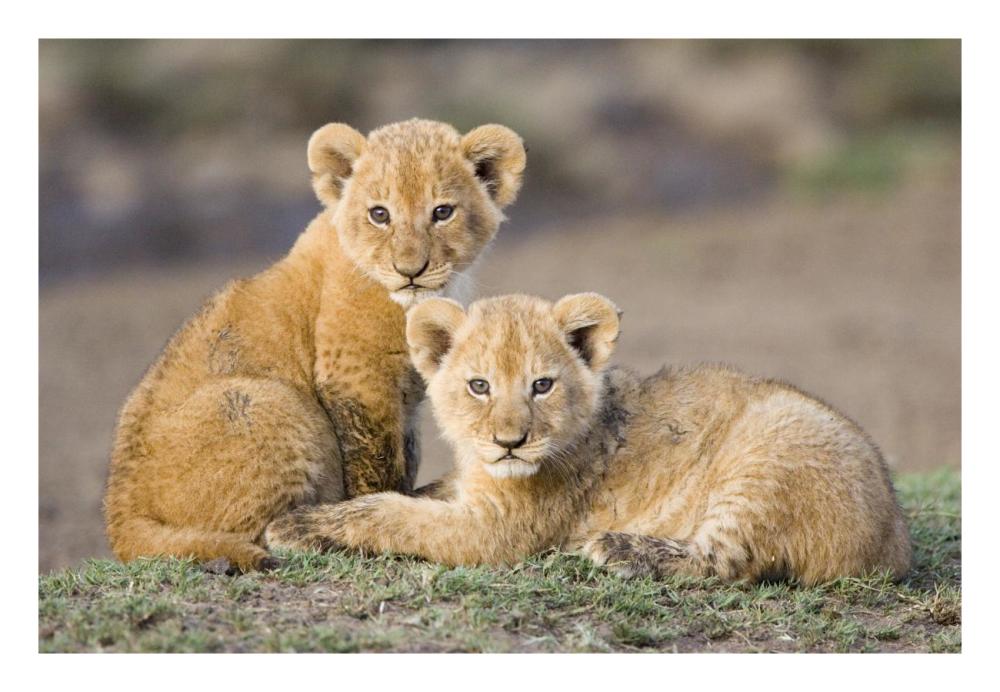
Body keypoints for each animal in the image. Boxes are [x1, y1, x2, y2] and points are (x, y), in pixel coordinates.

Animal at [104, 119, 526, 571]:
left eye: (442, 212)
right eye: (380, 214)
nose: (410, 271)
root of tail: (120, 518)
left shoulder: (407, 397)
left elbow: (407, 454)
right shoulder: (356, 374)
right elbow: (375, 460)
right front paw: (371, 512)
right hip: (267, 401)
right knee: (254, 532)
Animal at [266, 293, 911, 585]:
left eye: (542, 384)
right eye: (479, 385)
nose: (510, 442)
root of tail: (895, 544)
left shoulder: (499, 531)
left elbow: (392, 514)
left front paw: (297, 525)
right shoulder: (468, 488)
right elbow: (417, 496)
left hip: (769, 452)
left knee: (725, 561)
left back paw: (612, 548)